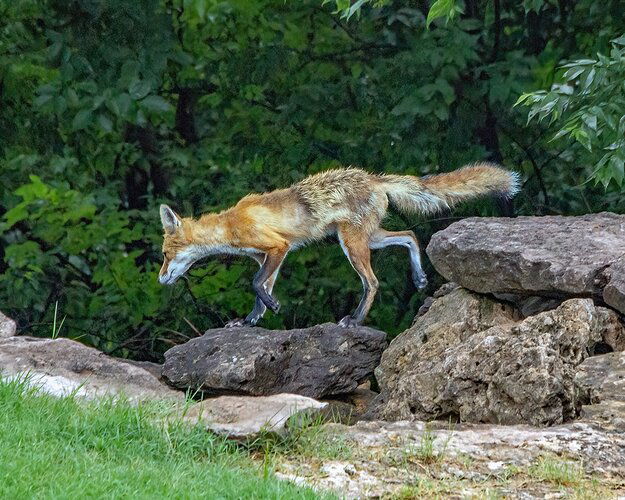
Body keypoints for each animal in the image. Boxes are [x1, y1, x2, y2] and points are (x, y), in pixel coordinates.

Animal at [158, 164, 520, 328]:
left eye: (164, 255)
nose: (160, 279)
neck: (230, 224)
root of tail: (374, 178)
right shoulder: (267, 255)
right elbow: (261, 290)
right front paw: (250, 321)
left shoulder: (277, 247)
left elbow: (256, 284)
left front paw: (272, 307)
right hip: (369, 238)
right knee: (409, 235)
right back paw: (418, 278)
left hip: (353, 244)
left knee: (373, 282)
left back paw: (356, 320)